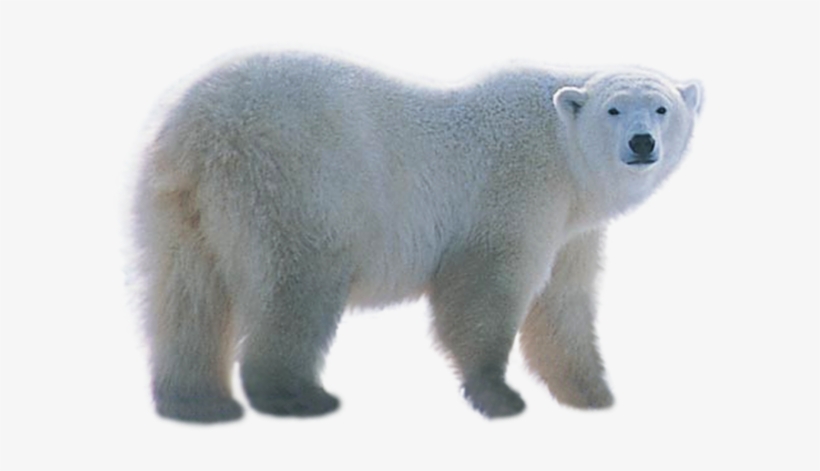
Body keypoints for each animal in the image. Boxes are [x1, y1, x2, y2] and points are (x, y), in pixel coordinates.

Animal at [134, 52, 702, 423]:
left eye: (662, 108)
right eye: (614, 109)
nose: (642, 142)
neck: (562, 150)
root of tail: (201, 126)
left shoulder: (571, 228)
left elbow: (563, 303)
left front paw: (592, 392)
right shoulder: (517, 189)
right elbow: (485, 288)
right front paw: (499, 396)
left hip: (180, 205)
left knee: (187, 295)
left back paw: (198, 402)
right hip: (296, 183)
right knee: (296, 284)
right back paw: (296, 395)